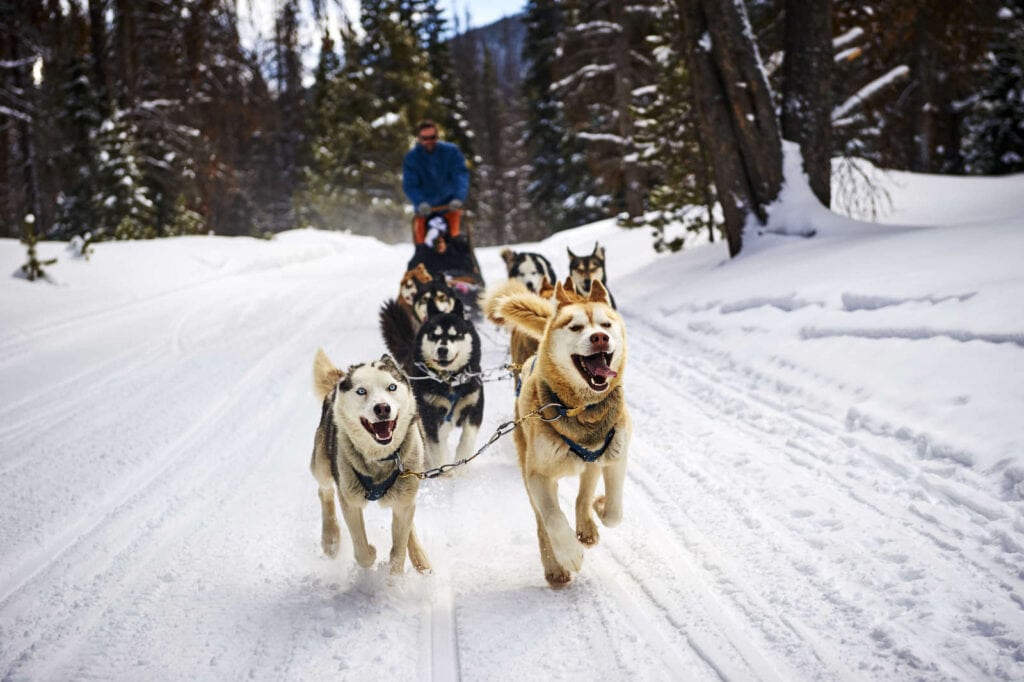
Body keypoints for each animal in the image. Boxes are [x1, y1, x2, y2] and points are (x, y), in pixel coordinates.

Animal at [485, 278, 626, 585]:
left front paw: (600, 506)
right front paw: (569, 554)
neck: (580, 411)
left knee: (582, 496)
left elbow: (614, 511)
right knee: (542, 523)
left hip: (591, 465)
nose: (600, 337)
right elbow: (552, 517)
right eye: (575, 327)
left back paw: (587, 526)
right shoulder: (538, 476)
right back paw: (554, 566)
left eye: (605, 324)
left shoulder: (615, 457)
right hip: (530, 474)